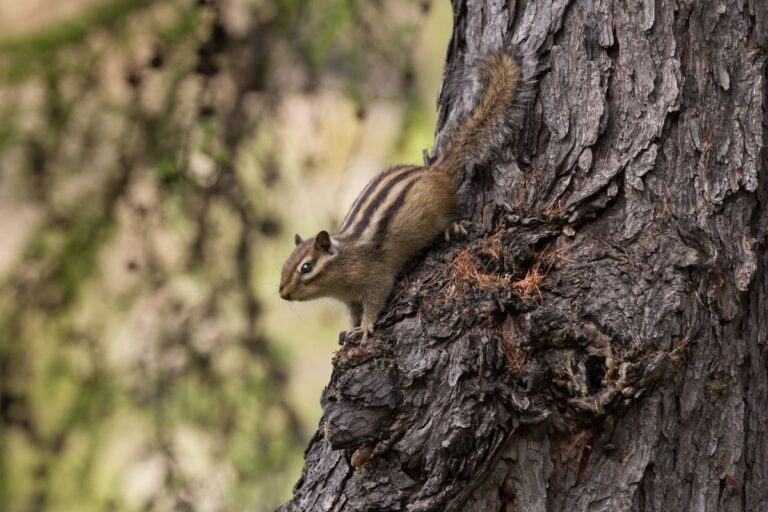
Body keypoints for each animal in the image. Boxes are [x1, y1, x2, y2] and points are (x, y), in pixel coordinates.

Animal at [279, 50, 522, 344]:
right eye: (285, 264)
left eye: (306, 268)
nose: (283, 293)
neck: (344, 262)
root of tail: (436, 170)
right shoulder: (350, 300)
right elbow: (353, 313)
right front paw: (350, 329)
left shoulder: (376, 278)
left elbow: (374, 302)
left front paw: (365, 327)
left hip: (442, 205)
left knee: (454, 211)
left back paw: (453, 225)